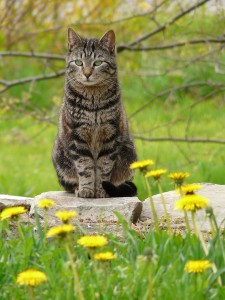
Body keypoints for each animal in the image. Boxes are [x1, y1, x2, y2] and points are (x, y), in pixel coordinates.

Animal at [52, 27, 137, 197]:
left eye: (98, 63)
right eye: (78, 62)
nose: (87, 73)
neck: (93, 104)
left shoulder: (110, 136)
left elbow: (104, 167)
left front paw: (101, 190)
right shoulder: (77, 137)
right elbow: (85, 167)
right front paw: (86, 190)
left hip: (130, 156)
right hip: (60, 159)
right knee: (70, 185)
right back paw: (77, 189)